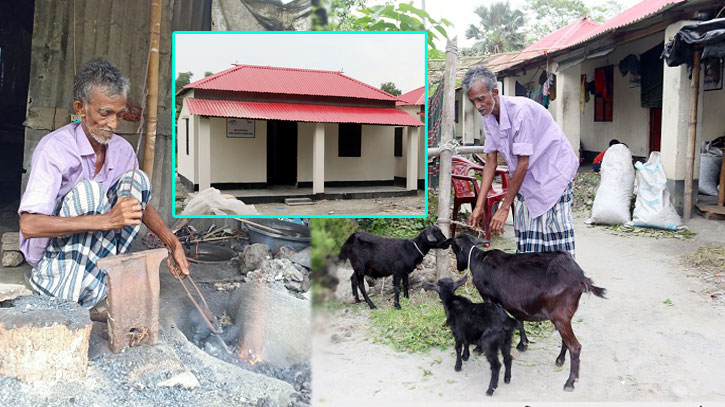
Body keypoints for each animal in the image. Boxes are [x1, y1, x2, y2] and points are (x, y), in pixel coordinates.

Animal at [446, 236, 604, 392]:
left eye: (454, 248)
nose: (459, 267)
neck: (478, 260)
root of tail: (581, 278)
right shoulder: (514, 303)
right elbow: (519, 320)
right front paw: (523, 344)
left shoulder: (488, 297)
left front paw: (478, 348)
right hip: (565, 315)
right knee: (566, 339)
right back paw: (560, 360)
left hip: (560, 315)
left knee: (575, 346)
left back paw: (570, 382)